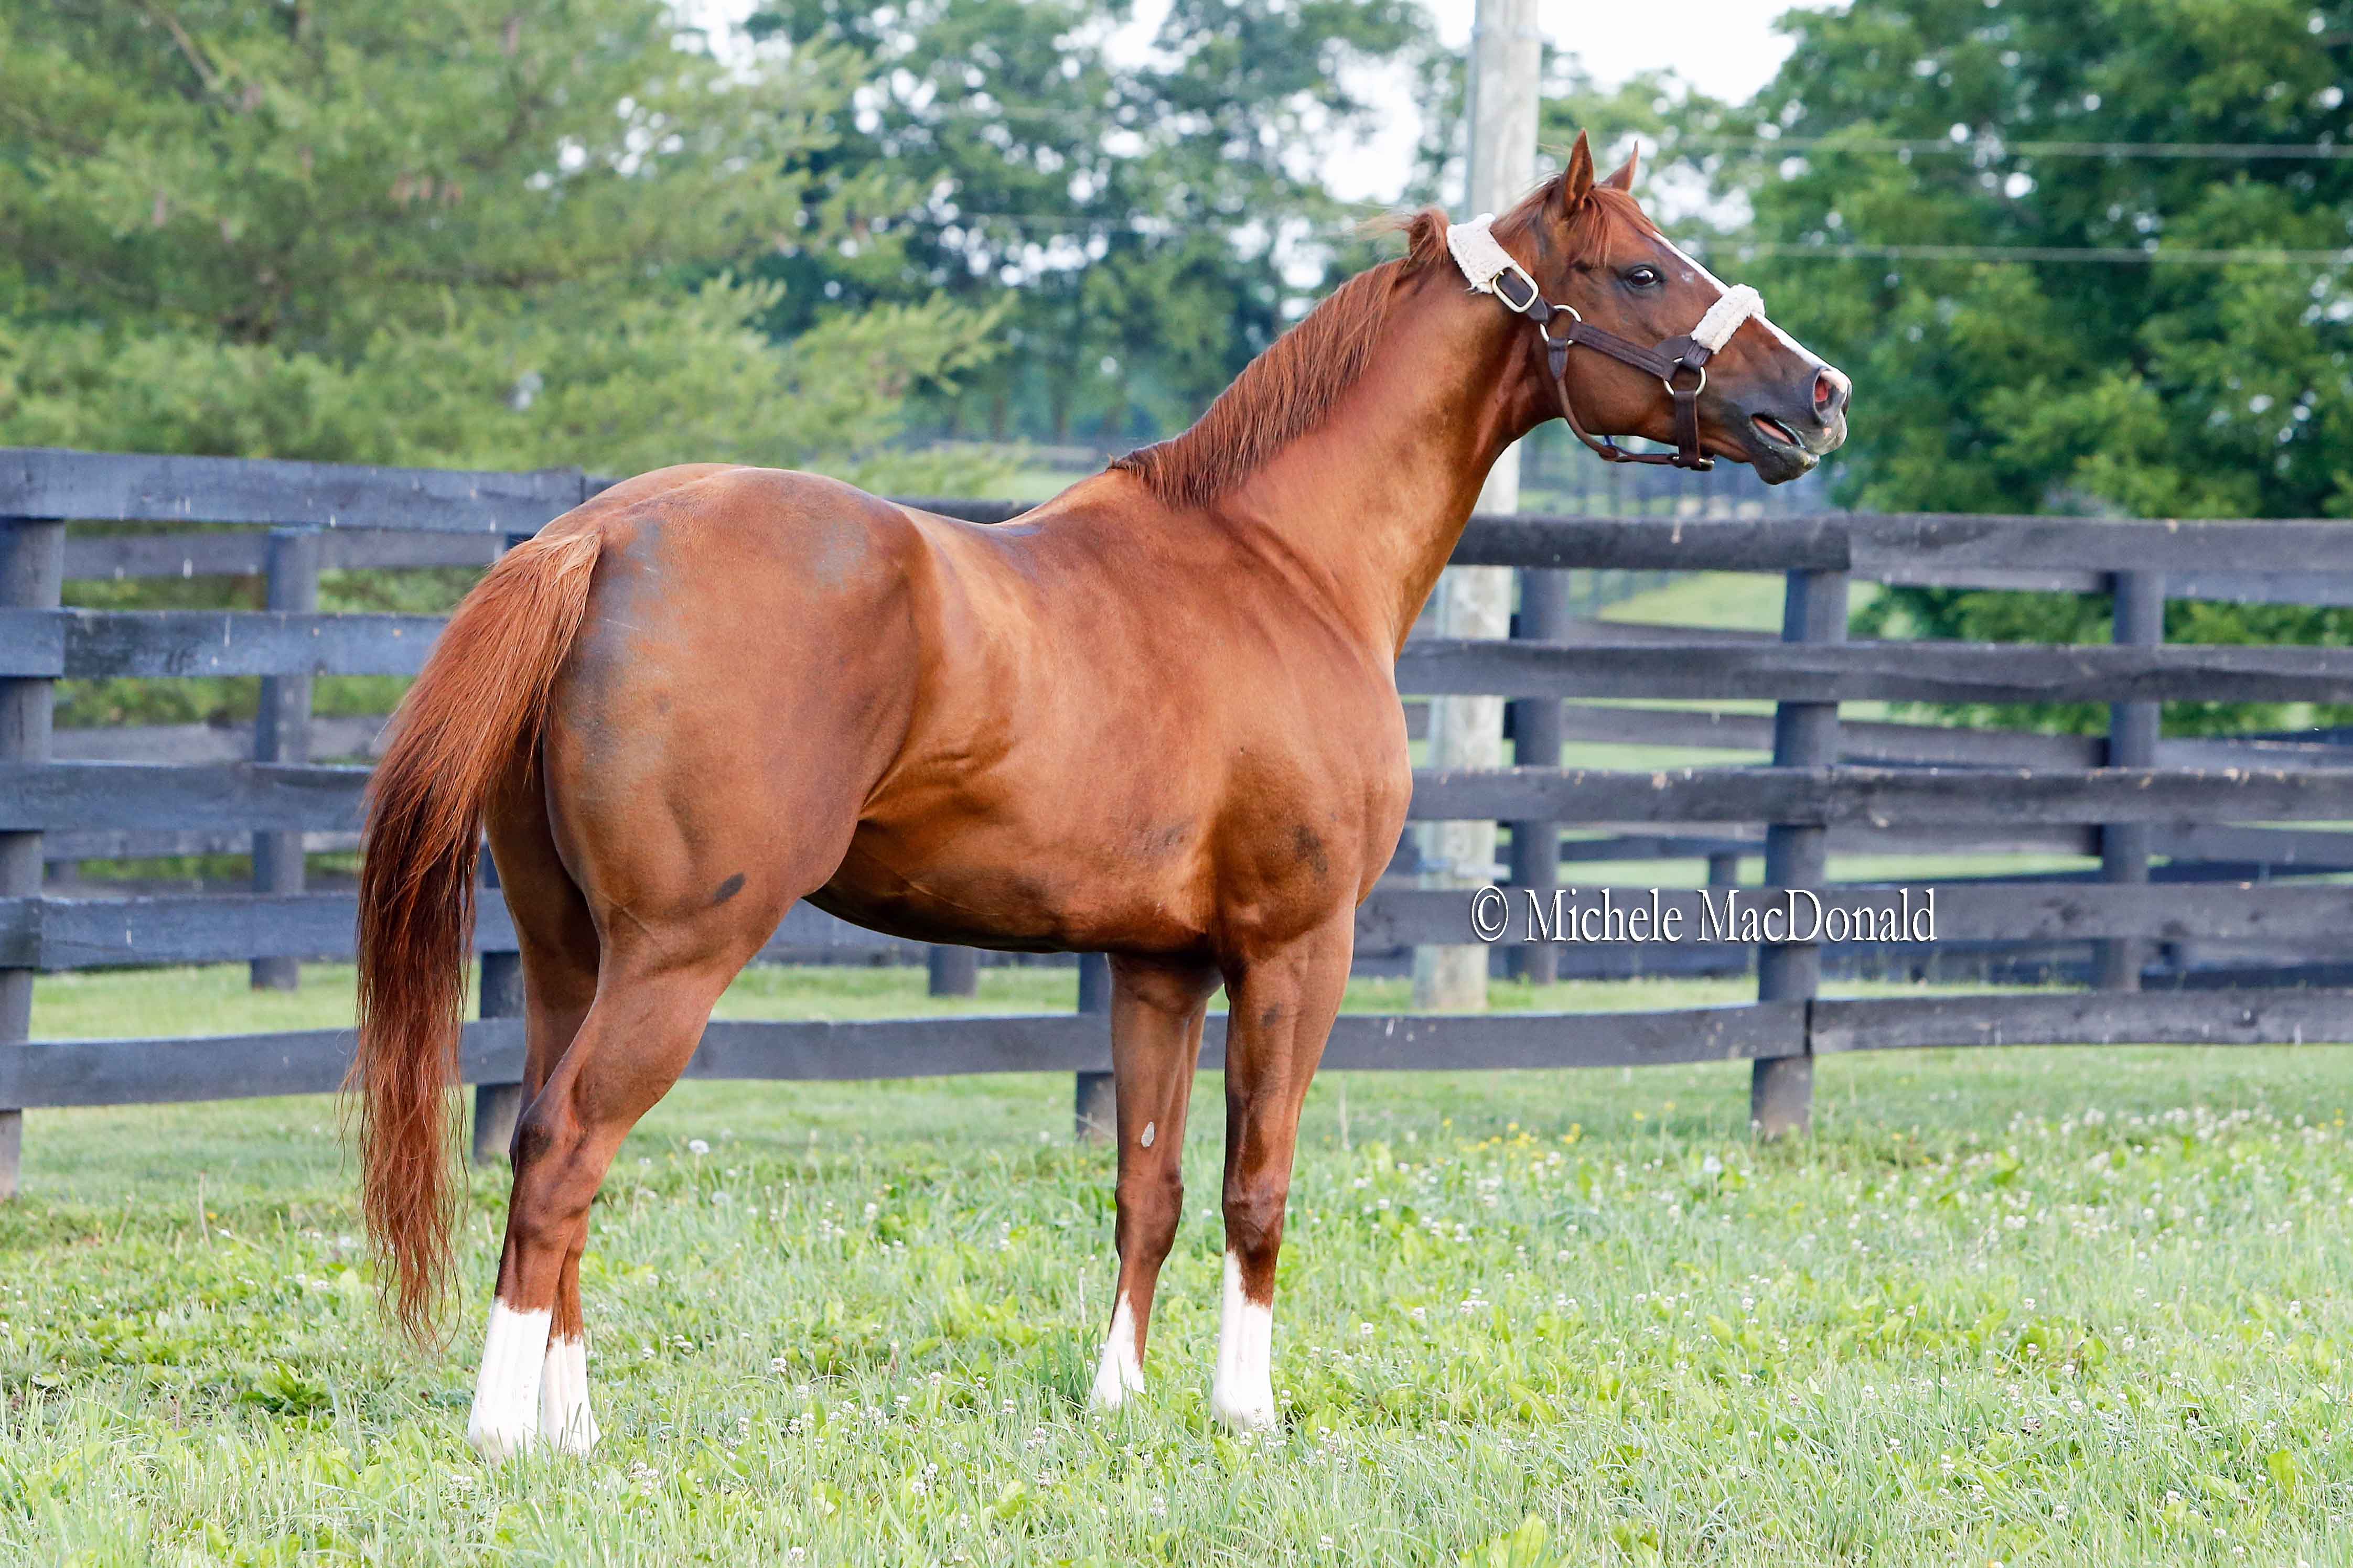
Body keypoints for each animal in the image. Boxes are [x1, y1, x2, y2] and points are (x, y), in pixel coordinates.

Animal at [353, 135, 1854, 1457]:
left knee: (547, 1150)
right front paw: (1245, 1413)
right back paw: (505, 1432)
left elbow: (1150, 1185)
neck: (1279, 563)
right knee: (562, 1151)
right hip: (676, 957)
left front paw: (1118, 1401)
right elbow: (1257, 1185)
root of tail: (597, 536)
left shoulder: (1157, 965)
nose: (1819, 393)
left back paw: (571, 1422)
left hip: (572, 953)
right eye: (1643, 270)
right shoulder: (1295, 948)